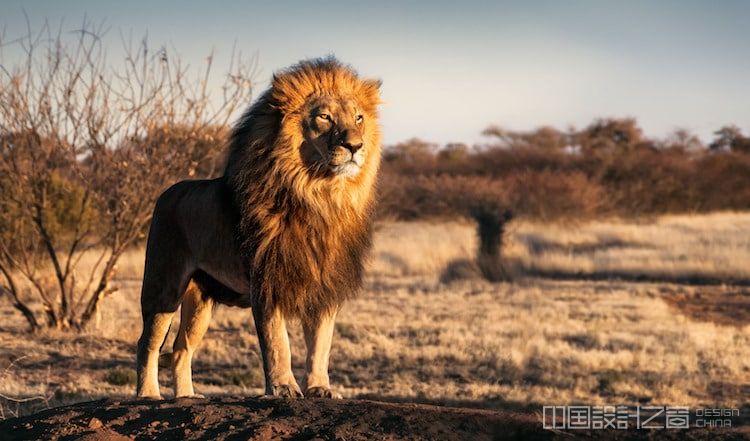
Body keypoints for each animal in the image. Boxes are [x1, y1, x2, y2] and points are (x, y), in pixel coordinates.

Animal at [135, 57, 382, 398]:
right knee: (148, 343)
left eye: (359, 118)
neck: (319, 196)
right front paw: (283, 387)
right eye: (324, 117)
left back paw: (186, 396)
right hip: (164, 286)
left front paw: (320, 388)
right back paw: (148, 394)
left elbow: (321, 344)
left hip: (200, 300)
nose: (355, 145)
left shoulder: (324, 285)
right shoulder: (267, 280)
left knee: (181, 348)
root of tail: (167, 192)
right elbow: (278, 343)